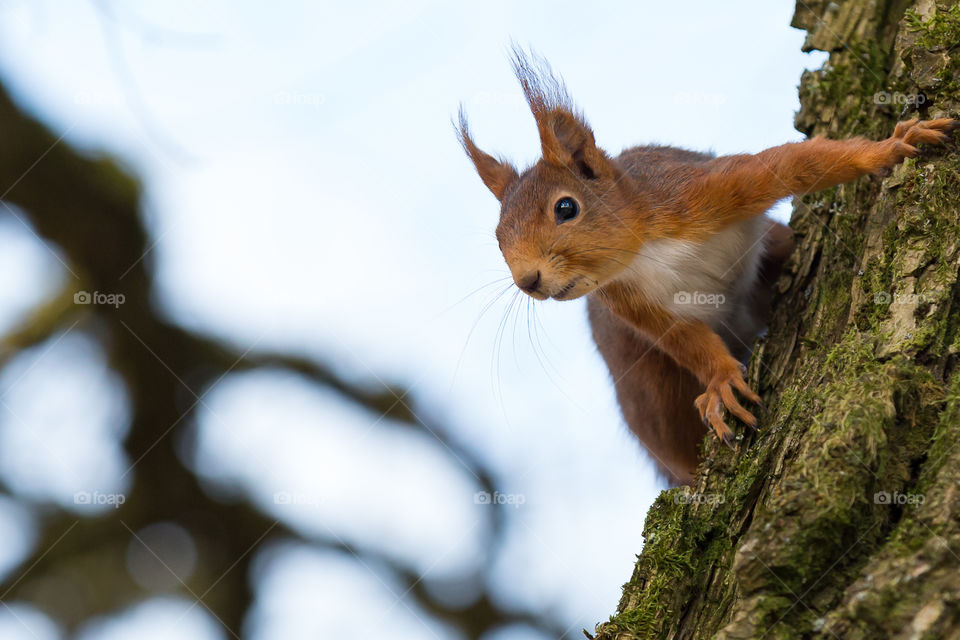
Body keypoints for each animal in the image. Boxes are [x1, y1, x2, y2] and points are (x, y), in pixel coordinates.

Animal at [457, 49, 958, 485]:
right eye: (498, 238)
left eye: (566, 208)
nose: (528, 281)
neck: (643, 249)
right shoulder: (628, 302)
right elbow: (686, 340)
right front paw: (720, 381)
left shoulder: (697, 191)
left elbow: (789, 165)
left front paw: (888, 148)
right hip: (649, 390)